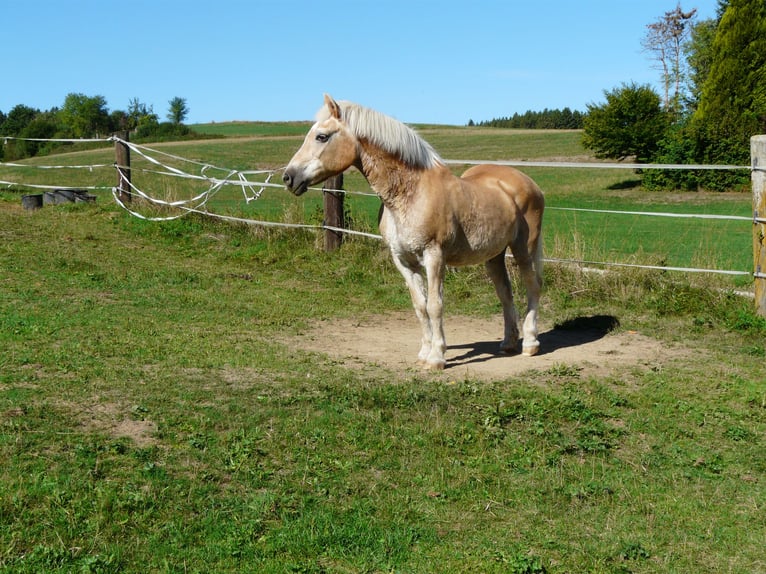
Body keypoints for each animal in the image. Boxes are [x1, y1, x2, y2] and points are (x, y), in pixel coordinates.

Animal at [283, 95, 545, 370]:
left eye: (321, 137)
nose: (289, 177)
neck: (410, 194)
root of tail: (529, 183)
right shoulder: (403, 260)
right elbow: (420, 305)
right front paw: (424, 353)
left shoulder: (434, 256)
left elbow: (435, 305)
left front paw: (437, 358)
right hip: (493, 256)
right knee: (505, 293)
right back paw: (508, 343)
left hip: (524, 249)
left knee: (532, 286)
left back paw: (530, 344)